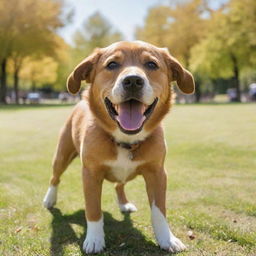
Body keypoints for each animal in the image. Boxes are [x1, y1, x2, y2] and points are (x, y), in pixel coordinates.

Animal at [42, 40, 194, 254]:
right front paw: (94, 239)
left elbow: (159, 211)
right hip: (62, 155)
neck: (125, 140)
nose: (133, 80)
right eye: (112, 64)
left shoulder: (157, 174)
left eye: (151, 64)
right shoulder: (90, 174)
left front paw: (167, 239)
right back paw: (50, 198)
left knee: (118, 185)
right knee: (55, 177)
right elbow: (93, 210)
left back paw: (124, 203)